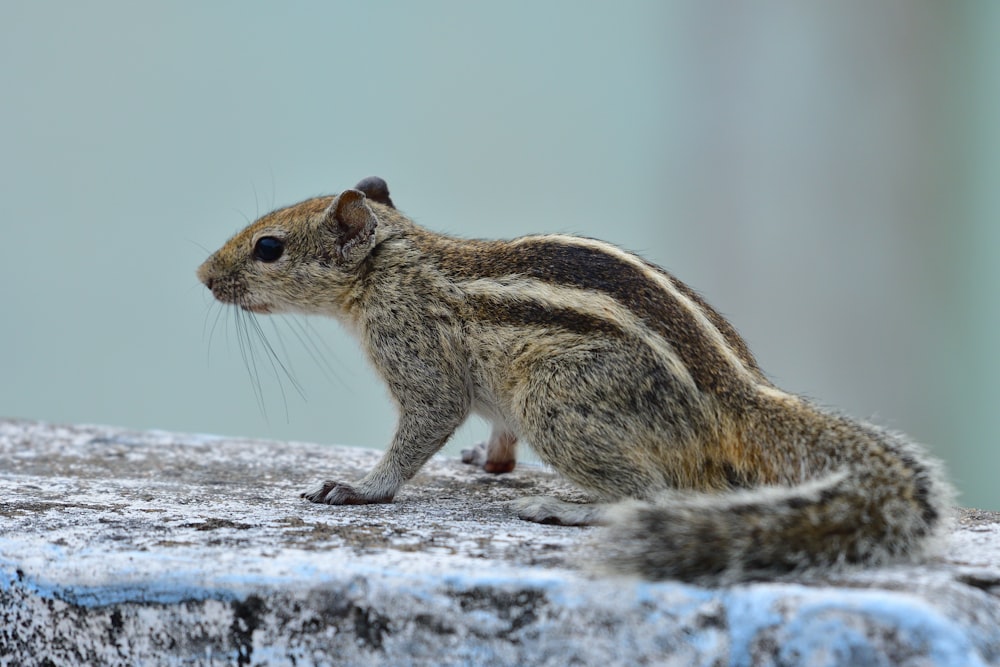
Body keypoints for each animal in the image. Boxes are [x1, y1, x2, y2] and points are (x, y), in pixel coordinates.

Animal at [195, 177, 952, 584]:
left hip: (557, 399)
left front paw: (361, 487)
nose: (203, 275)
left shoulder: (420, 360)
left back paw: (570, 508)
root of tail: (740, 398)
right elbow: (494, 436)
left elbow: (420, 429)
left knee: (649, 493)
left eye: (269, 247)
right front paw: (487, 461)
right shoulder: (494, 398)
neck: (393, 262)